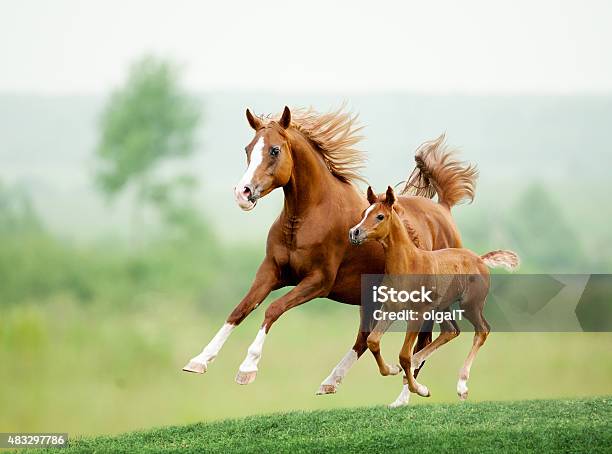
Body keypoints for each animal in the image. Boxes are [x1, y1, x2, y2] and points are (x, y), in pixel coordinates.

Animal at [352, 186, 520, 406]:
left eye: (380, 216)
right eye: (364, 213)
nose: (354, 232)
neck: (409, 264)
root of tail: (480, 259)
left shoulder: (418, 313)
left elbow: (404, 355)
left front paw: (420, 389)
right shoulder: (390, 309)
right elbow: (373, 341)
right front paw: (393, 370)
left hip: (470, 306)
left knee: (482, 330)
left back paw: (461, 386)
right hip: (442, 308)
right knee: (451, 331)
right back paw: (414, 366)